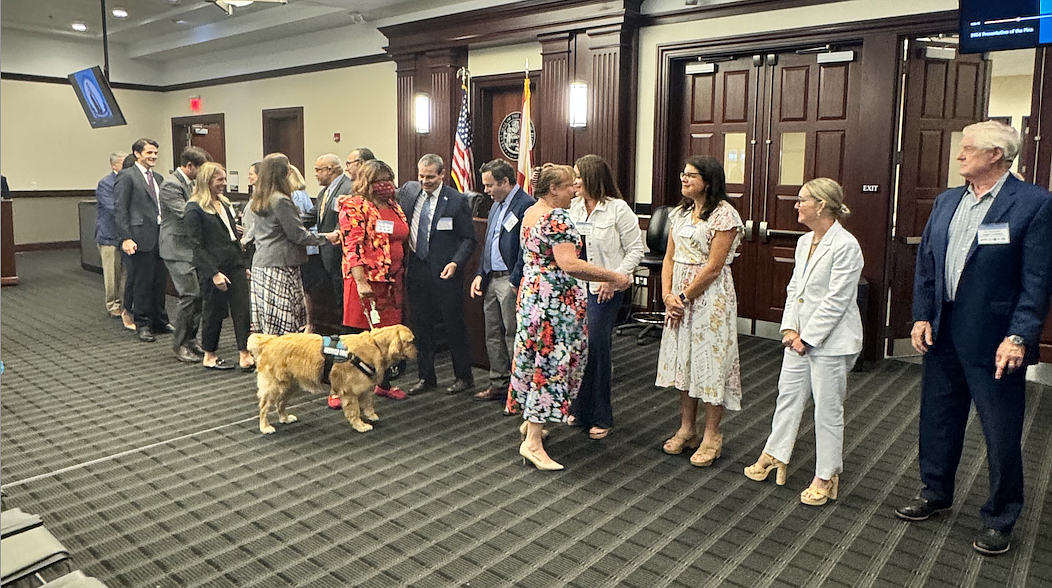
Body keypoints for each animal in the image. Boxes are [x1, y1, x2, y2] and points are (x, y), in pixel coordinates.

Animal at [248, 323, 416, 435]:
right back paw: (265, 427)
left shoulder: (364, 387)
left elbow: (368, 403)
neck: (375, 345)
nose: (418, 351)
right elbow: (355, 411)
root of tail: (269, 341)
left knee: (280, 404)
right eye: (411, 341)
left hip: (290, 385)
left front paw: (371, 415)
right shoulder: (349, 391)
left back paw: (285, 418)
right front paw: (360, 425)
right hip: (275, 386)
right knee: (264, 407)